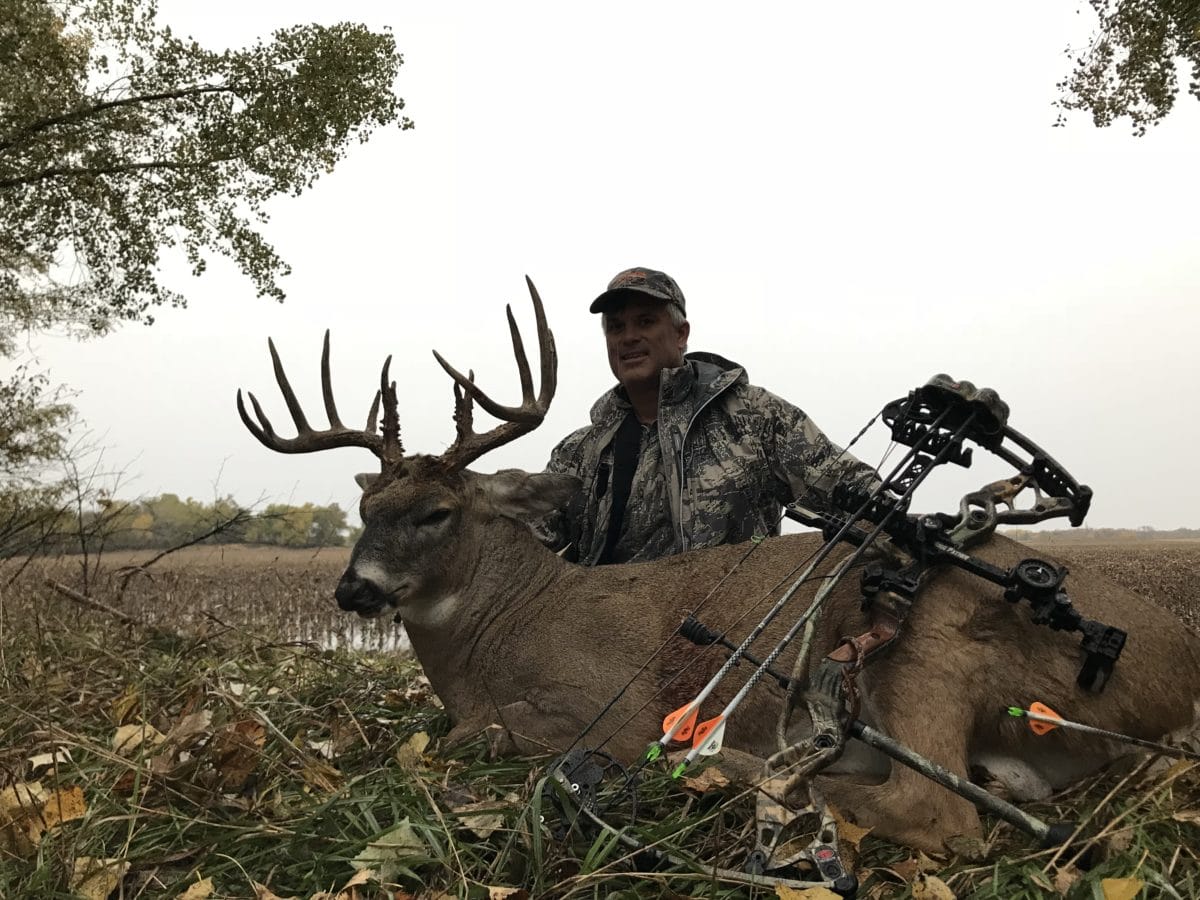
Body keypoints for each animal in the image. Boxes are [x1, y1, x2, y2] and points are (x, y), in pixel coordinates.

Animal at [237, 278, 1200, 855]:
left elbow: (472, 736)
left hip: (930, 645)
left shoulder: (605, 702)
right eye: (366, 509)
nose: (353, 587)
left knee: (942, 812)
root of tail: (1178, 673)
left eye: (436, 512)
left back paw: (729, 767)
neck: (494, 637)